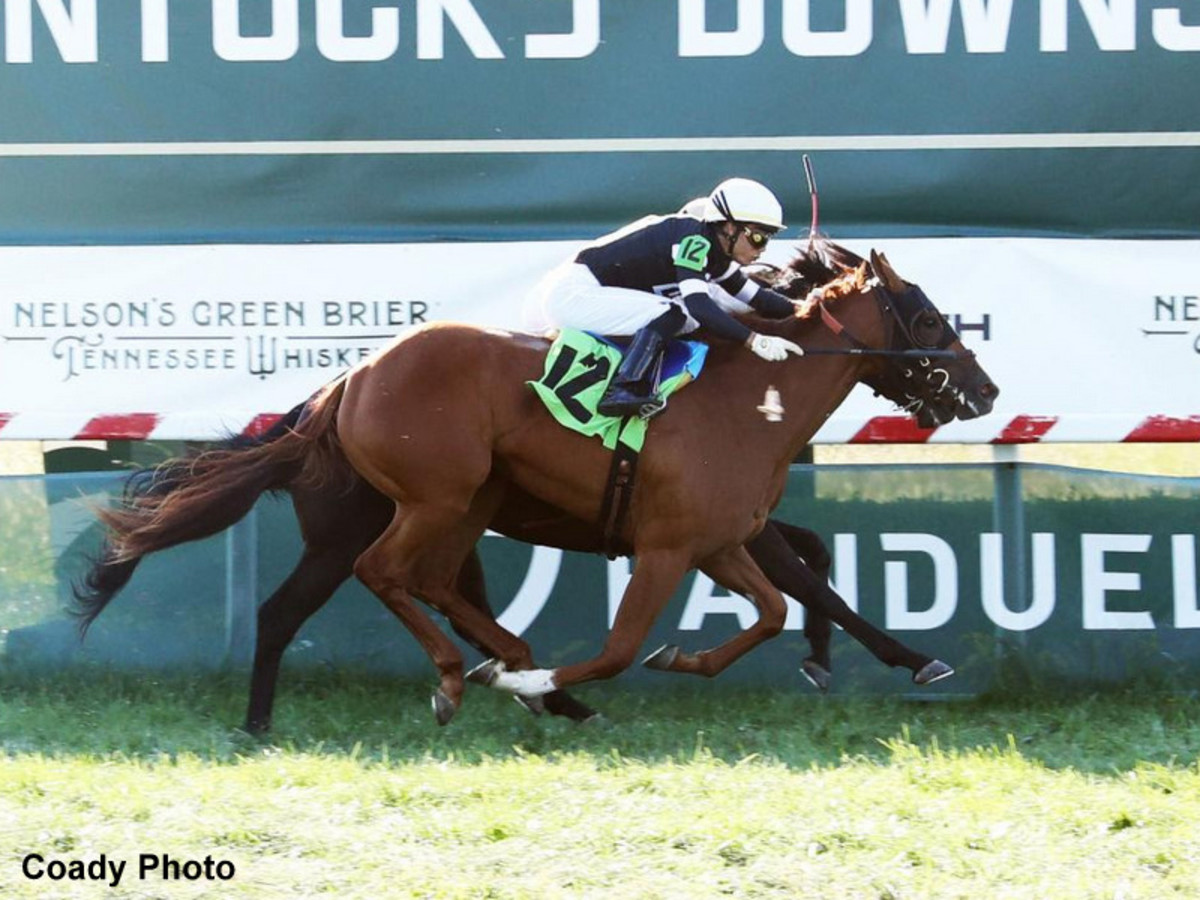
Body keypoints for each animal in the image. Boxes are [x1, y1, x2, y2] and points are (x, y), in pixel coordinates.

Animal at [77, 240, 964, 734]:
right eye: (926, 319)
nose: (982, 389)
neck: (750, 399)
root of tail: (344, 385)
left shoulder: (722, 537)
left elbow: (793, 595)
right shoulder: (670, 545)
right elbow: (627, 645)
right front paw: (910, 661)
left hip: (460, 509)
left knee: (427, 586)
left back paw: (506, 676)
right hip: (419, 506)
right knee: (365, 581)